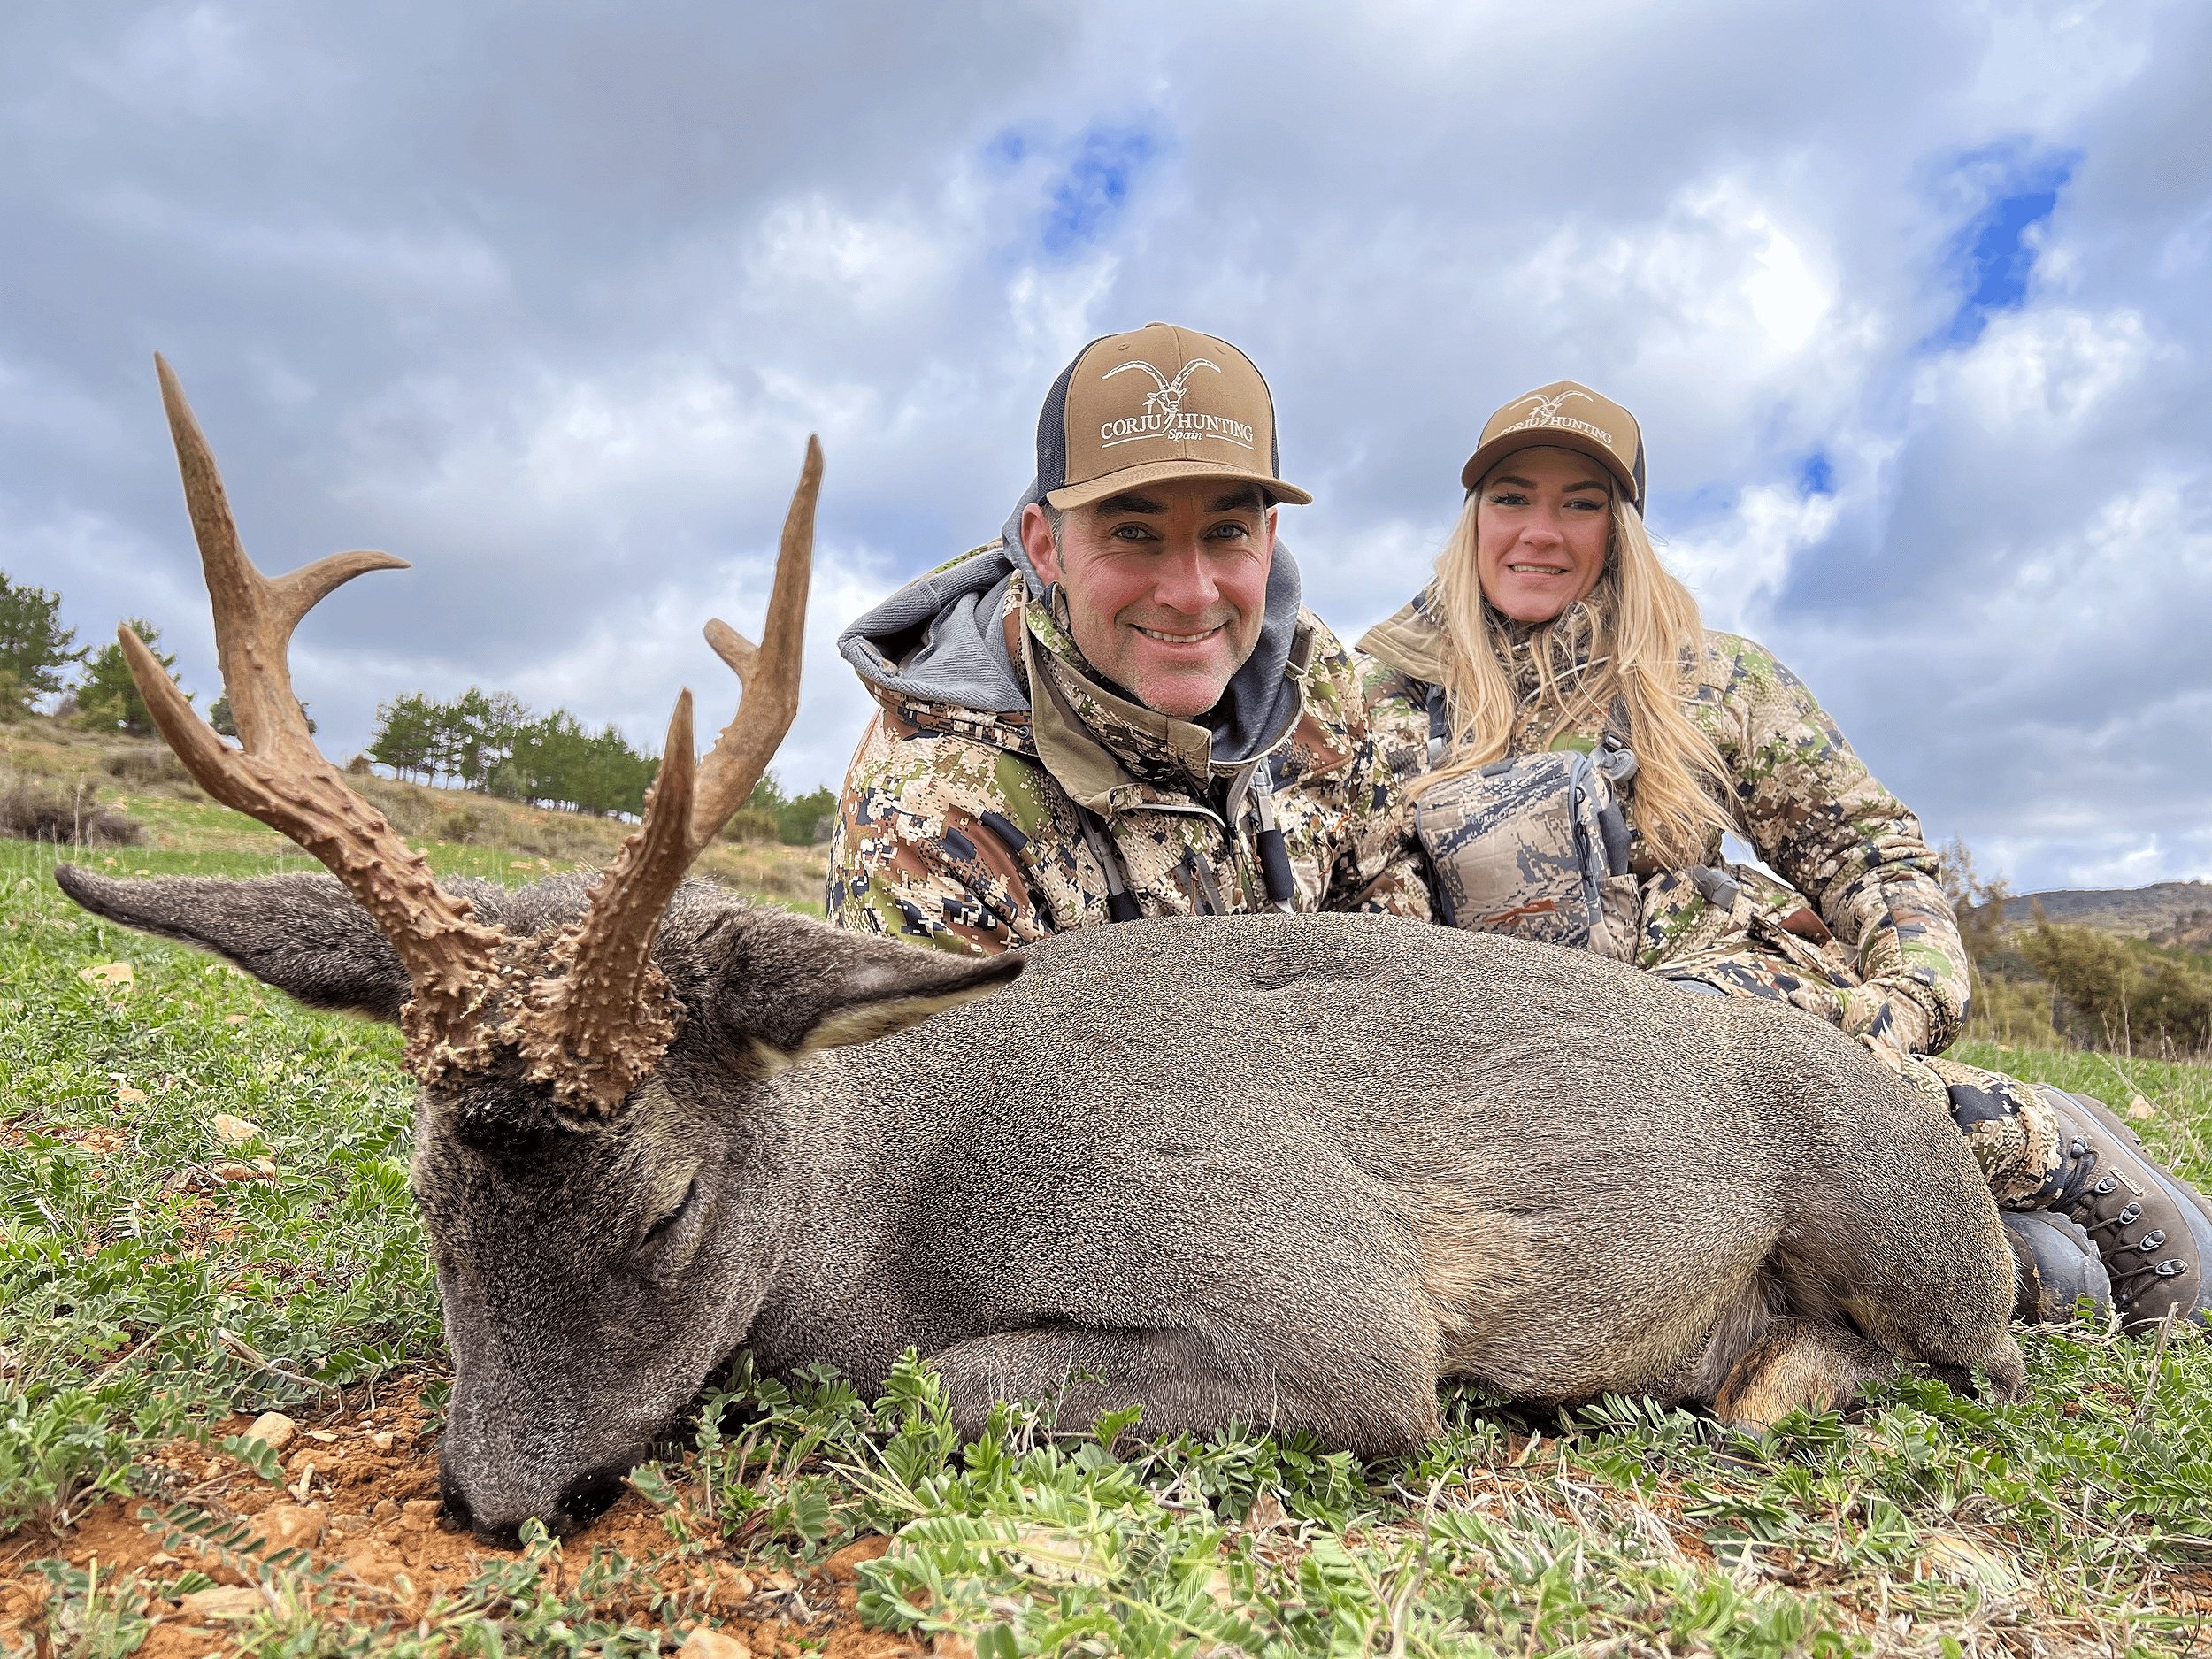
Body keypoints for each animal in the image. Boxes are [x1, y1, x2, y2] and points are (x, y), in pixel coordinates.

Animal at [56, 359, 2025, 1544]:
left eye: (669, 1207)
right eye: (424, 1189)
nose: (493, 1492)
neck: (893, 1197)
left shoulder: (1323, 1311)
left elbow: (926, 1382)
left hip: (1916, 1242)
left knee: (1981, 1359)